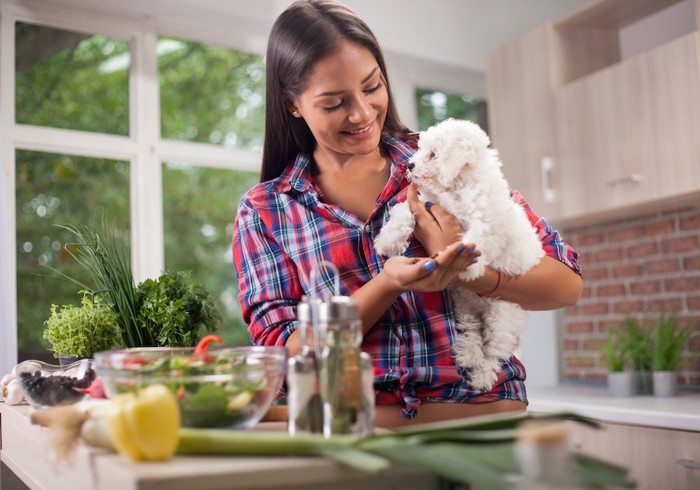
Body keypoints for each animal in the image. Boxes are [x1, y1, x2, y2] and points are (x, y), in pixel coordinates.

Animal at [374, 117, 544, 390]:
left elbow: (477, 238)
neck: (455, 188)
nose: (410, 164)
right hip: (464, 304)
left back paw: (482, 376)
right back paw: (468, 353)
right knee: (472, 329)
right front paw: (389, 239)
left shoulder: (486, 220)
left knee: (493, 351)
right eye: (421, 148)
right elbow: (403, 212)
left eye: (433, 154)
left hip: (504, 316)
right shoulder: (427, 203)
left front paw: (466, 262)